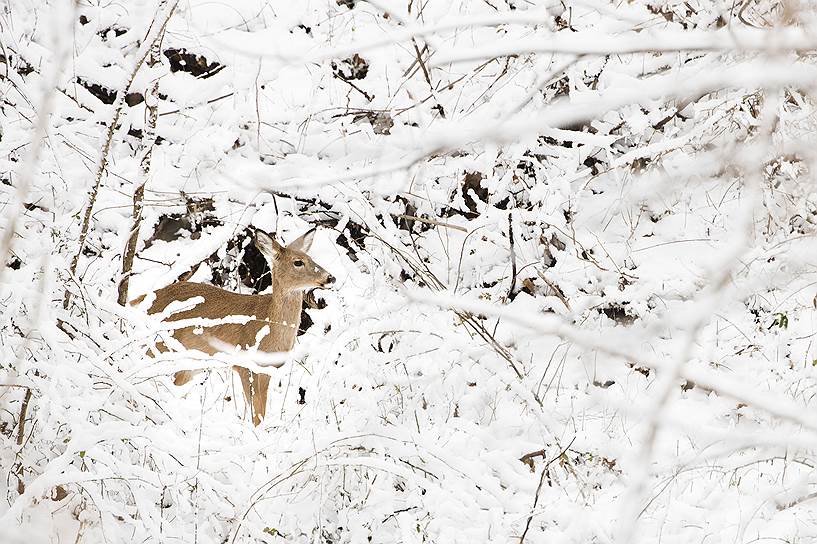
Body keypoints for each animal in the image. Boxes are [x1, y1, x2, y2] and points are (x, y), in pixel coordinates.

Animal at [135, 228, 334, 424]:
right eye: (298, 262)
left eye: (312, 258)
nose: (330, 277)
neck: (270, 324)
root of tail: (139, 301)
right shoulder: (244, 364)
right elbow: (256, 415)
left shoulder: (266, 369)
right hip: (159, 349)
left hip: (189, 364)